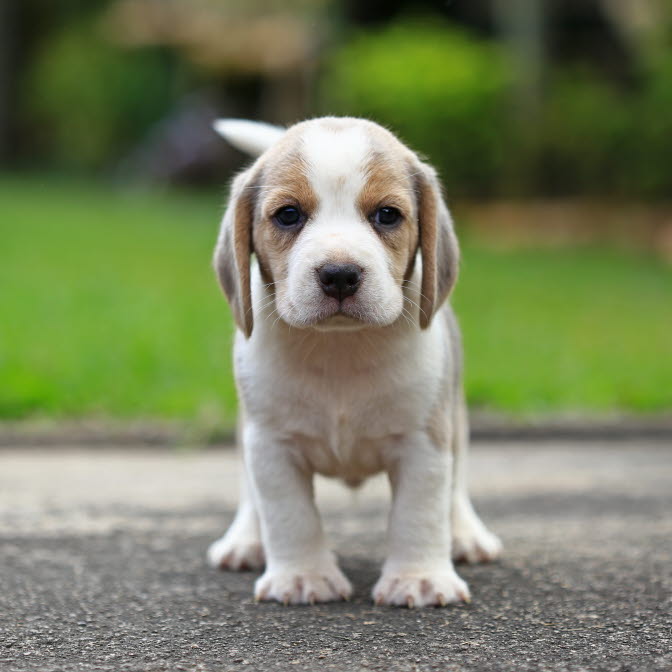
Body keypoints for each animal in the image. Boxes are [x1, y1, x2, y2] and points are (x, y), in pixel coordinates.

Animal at [207, 117, 502, 608]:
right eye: (288, 215)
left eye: (387, 215)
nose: (340, 274)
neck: (340, 349)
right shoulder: (270, 444)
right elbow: (289, 515)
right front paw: (302, 577)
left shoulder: (424, 441)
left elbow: (420, 513)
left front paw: (419, 578)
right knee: (252, 497)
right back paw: (245, 541)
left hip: (455, 420)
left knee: (456, 487)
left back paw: (466, 535)